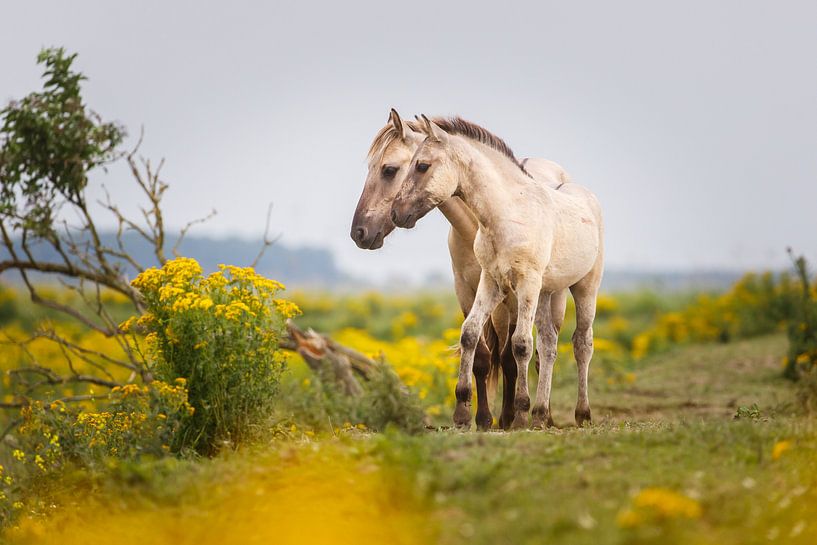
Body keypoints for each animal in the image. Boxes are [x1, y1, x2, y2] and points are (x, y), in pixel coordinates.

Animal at [351, 109, 571, 429]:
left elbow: (511, 354)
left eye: (389, 170)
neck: (478, 223)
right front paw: (482, 418)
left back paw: (543, 415)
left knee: (542, 351)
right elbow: (480, 355)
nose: (358, 232)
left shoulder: (509, 297)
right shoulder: (467, 292)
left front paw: (505, 417)